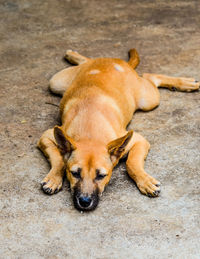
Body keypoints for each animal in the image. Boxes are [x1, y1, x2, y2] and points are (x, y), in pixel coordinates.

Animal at [37, 48, 198, 211]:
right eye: (75, 173)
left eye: (101, 176)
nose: (84, 202)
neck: (90, 133)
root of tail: (118, 62)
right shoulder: (46, 136)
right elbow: (58, 159)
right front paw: (54, 178)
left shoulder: (138, 140)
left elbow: (131, 163)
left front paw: (145, 181)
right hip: (56, 82)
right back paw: (74, 55)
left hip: (149, 100)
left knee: (150, 76)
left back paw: (183, 83)